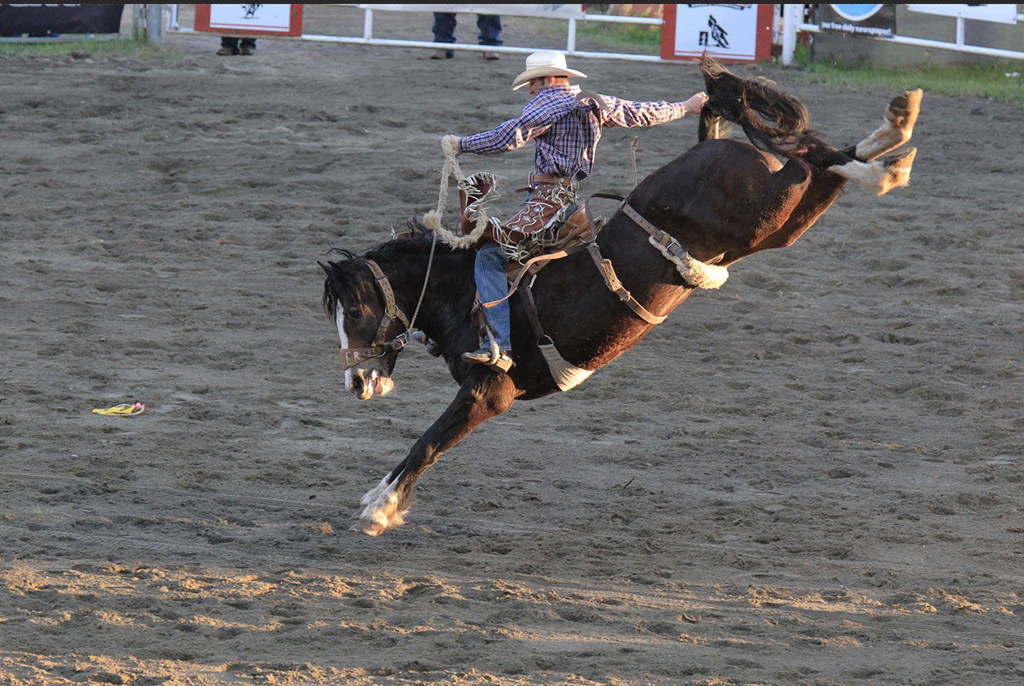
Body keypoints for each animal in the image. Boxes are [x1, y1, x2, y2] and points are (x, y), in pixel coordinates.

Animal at [319, 56, 921, 536]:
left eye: (356, 310)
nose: (355, 382)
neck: (460, 286)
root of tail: (706, 150)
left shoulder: (491, 392)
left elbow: (428, 442)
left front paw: (378, 510)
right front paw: (377, 501)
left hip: (764, 206)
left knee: (810, 156)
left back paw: (894, 143)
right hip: (776, 226)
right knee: (821, 166)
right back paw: (894, 141)